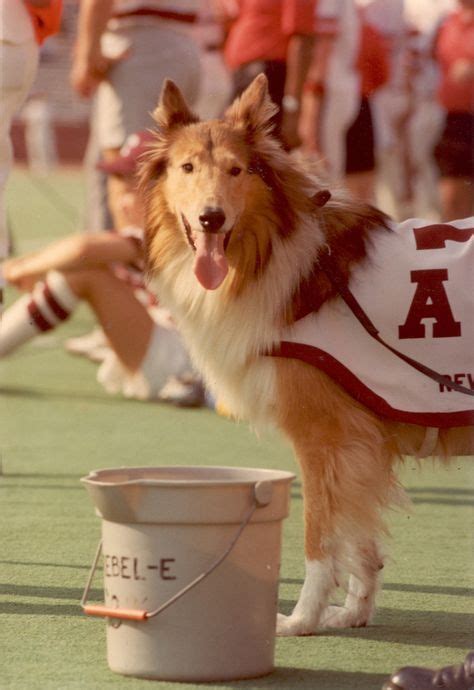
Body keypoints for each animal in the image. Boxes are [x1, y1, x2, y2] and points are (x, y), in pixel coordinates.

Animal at [141, 75, 474, 636]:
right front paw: (353, 613)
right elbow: (361, 539)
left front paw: (301, 619)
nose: (211, 218)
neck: (276, 255)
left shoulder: (325, 437)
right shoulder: (361, 444)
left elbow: (320, 536)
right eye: (187, 168)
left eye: (236, 170)